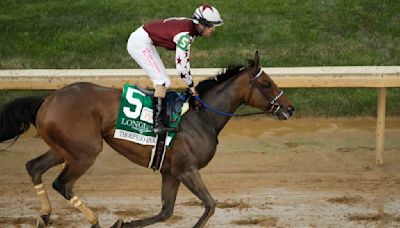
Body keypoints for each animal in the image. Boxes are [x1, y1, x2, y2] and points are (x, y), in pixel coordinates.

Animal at [0, 52, 294, 228]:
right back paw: (93, 220)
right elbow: (210, 206)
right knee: (62, 183)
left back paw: (45, 215)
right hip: (86, 151)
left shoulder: (170, 172)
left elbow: (166, 211)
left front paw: (123, 223)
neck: (202, 117)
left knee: (34, 167)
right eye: (266, 84)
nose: (289, 109)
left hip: (64, 149)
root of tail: (47, 99)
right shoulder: (187, 170)